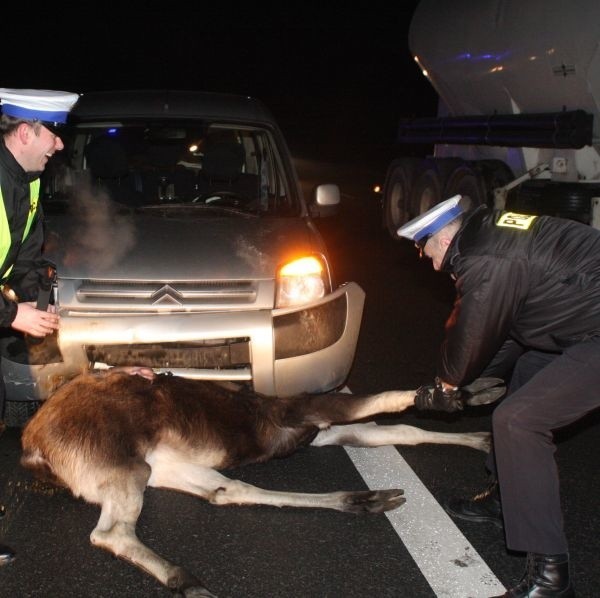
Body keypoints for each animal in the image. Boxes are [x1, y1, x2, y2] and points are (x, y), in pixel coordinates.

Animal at [19, 370, 502, 598]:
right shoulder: (300, 411)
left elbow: (402, 429)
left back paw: (360, 499)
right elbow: (386, 401)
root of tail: (33, 446)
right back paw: (184, 578)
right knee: (110, 533)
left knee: (228, 491)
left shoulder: (318, 430)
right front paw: (456, 395)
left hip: (161, 464)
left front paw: (482, 436)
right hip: (125, 467)